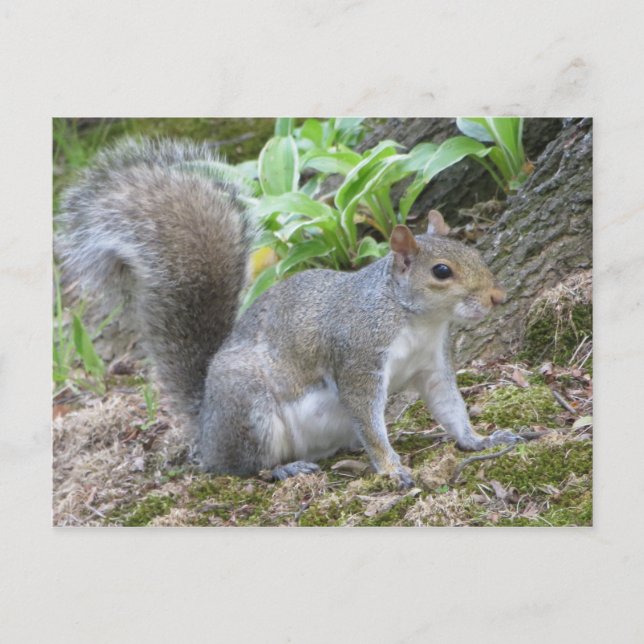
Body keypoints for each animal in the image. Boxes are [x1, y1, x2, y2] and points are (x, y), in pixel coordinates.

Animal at [59, 137, 521, 488]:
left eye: (474, 252)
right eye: (442, 271)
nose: (497, 297)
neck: (412, 317)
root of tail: (206, 423)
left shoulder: (433, 364)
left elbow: (449, 406)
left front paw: (480, 440)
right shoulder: (358, 357)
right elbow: (367, 416)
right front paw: (391, 468)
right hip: (249, 408)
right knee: (239, 466)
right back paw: (283, 468)